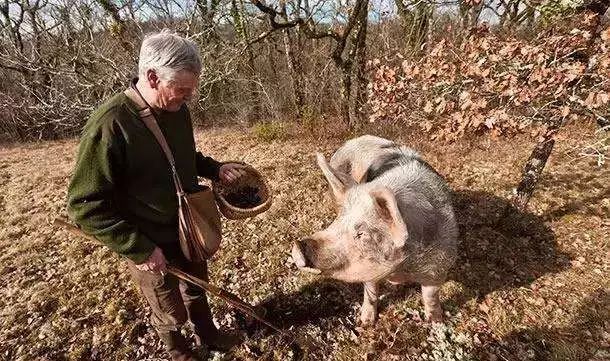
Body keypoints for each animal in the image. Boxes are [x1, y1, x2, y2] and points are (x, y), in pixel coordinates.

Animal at [290, 134, 456, 324]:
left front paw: (436, 321)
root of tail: (354, 139)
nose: (298, 245)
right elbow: (371, 292)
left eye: (361, 233)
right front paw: (366, 322)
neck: (402, 269)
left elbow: (431, 297)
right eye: (337, 221)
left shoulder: (439, 268)